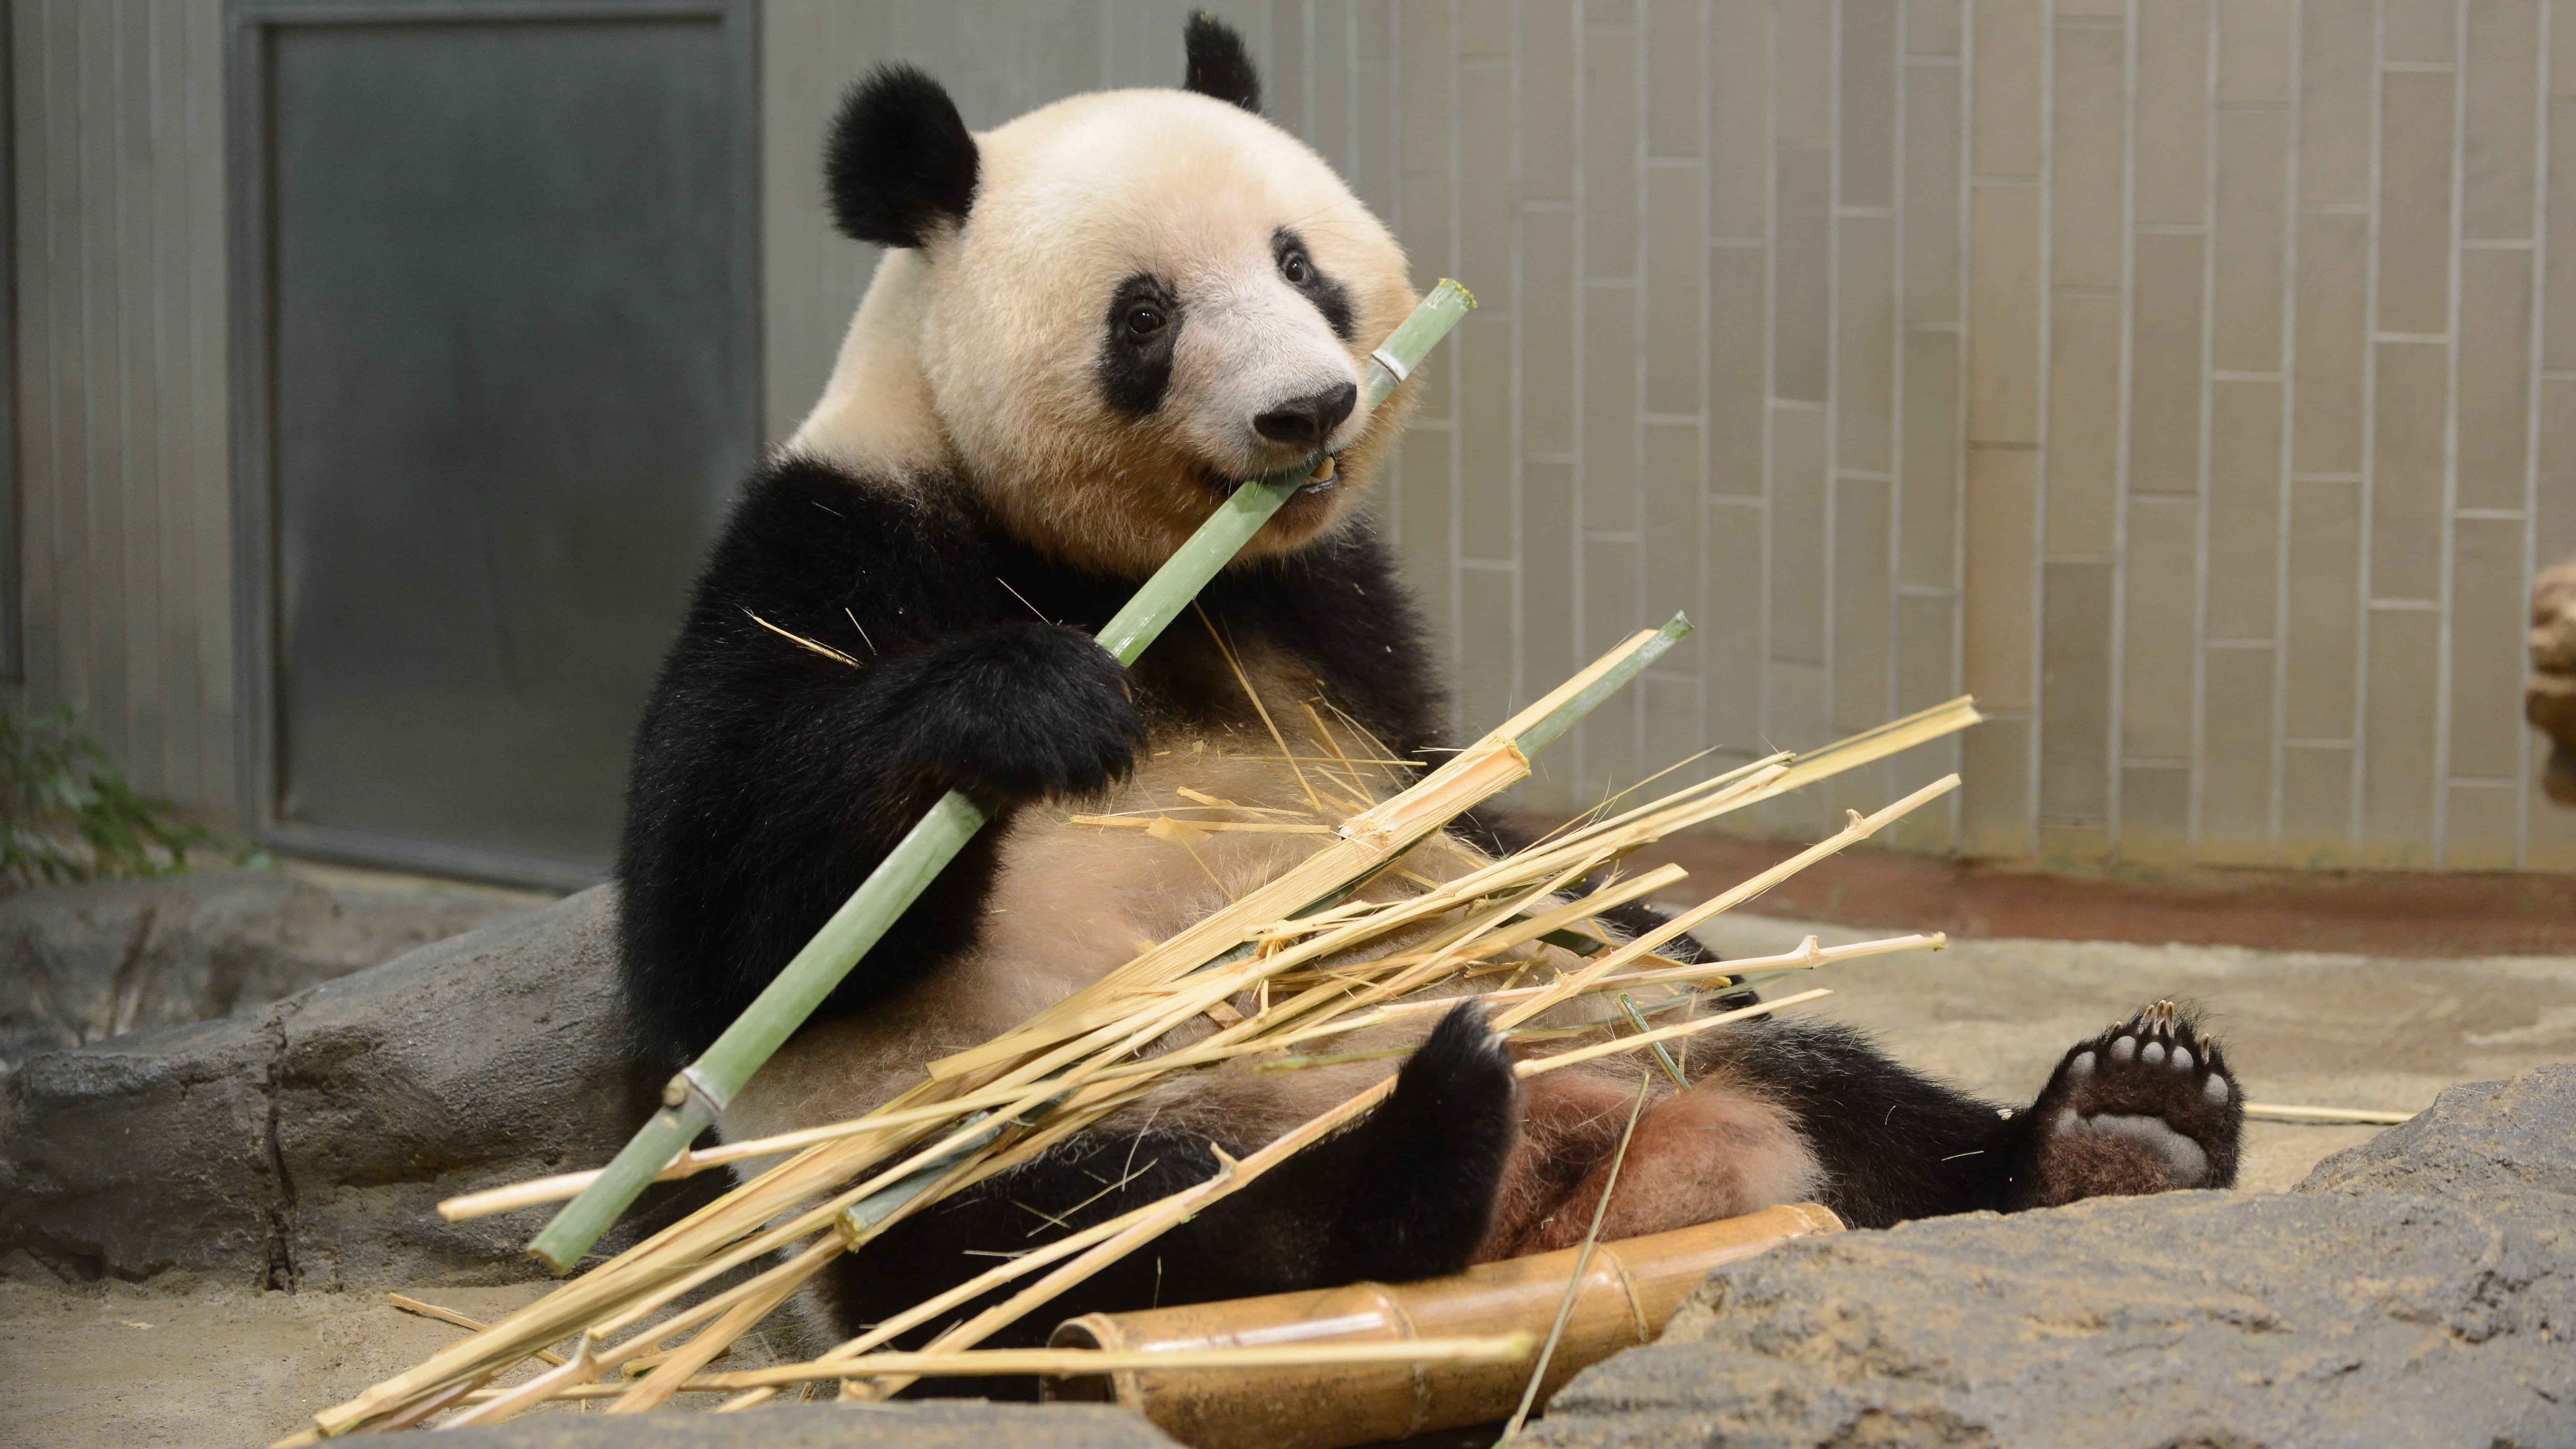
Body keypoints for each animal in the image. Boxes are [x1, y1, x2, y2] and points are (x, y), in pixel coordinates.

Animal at [618, 11, 2236, 1381]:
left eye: (1299, 265)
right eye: (1144, 314)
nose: (1308, 407)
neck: (1125, 567)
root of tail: (1582, 1179)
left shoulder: (1338, 624)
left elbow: (1473, 820)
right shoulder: (831, 544)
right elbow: (728, 914)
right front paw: (1035, 708)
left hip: (1649, 1029)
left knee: (1842, 1088)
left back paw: (2118, 1129)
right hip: (979, 1140)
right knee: (1120, 1235)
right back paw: (1421, 1160)